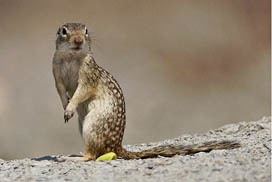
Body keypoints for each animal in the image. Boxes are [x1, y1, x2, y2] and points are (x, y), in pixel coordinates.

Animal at [51, 22, 240, 161]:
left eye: (86, 30)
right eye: (64, 31)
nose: (78, 40)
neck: (71, 57)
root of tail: (117, 146)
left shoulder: (88, 75)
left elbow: (82, 92)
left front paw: (70, 108)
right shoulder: (56, 73)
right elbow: (60, 91)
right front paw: (65, 106)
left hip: (92, 126)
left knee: (92, 155)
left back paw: (75, 158)